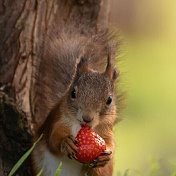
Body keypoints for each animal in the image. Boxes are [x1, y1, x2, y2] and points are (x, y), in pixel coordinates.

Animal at [31, 27, 119, 176]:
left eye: (109, 100)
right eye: (73, 93)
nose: (87, 118)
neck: (81, 127)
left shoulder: (106, 130)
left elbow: (110, 144)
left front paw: (106, 156)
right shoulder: (58, 120)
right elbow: (53, 138)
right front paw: (66, 143)